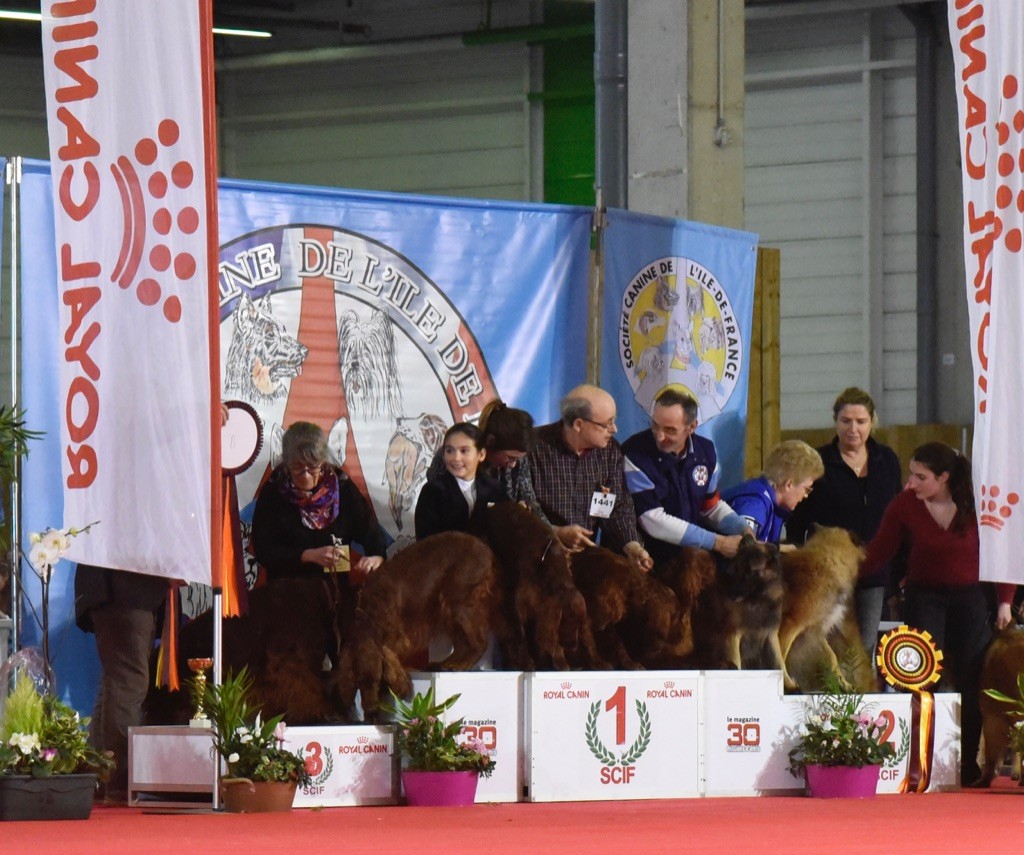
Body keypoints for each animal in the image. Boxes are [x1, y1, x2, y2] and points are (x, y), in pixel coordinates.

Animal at [333, 536, 497, 720]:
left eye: (374, 682)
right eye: (359, 683)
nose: (371, 714)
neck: (370, 614)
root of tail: (483, 546)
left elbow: (388, 655)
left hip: (458, 601)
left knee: (478, 643)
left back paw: (458, 665)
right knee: (462, 643)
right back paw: (444, 663)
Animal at [483, 497, 602, 671]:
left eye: (579, 625)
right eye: (566, 620)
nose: (573, 647)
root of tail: (495, 505)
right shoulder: (518, 607)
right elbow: (522, 637)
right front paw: (527, 663)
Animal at [774, 524, 864, 692]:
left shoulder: (814, 631)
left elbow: (832, 657)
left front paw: (844, 684)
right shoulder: (791, 624)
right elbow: (781, 654)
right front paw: (788, 684)